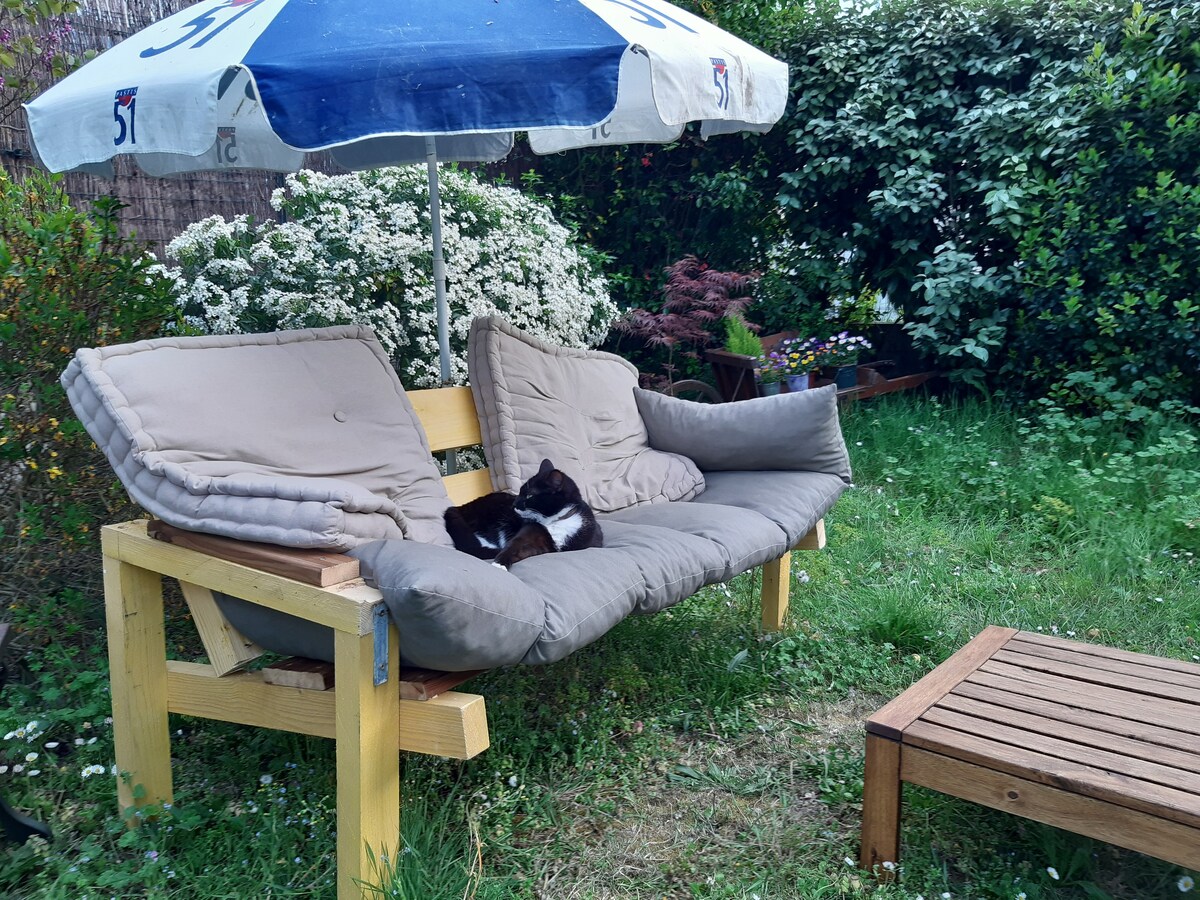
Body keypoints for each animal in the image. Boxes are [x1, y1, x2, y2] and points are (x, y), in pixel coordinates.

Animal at [444, 460, 600, 566]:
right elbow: (513, 546)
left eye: (530, 495)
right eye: (519, 492)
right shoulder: (529, 531)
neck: (556, 521)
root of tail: (458, 507)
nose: (514, 504)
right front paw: (498, 565)